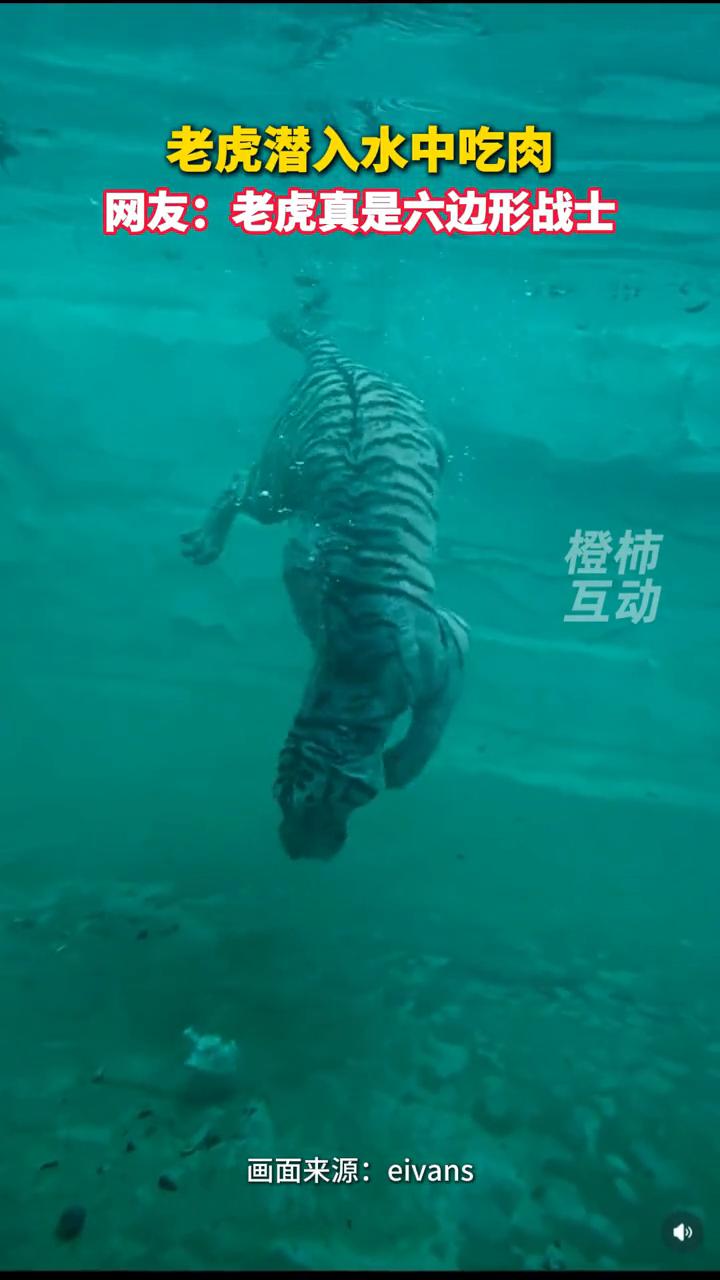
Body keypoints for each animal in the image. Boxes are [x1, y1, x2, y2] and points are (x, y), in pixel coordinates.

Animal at [181, 312, 469, 860]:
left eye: (319, 800)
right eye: (280, 798)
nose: (293, 850)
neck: (350, 679)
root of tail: (334, 359)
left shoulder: (453, 645)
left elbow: (433, 724)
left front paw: (401, 767)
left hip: (277, 486)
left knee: (238, 479)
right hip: (278, 484)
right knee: (238, 481)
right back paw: (203, 544)